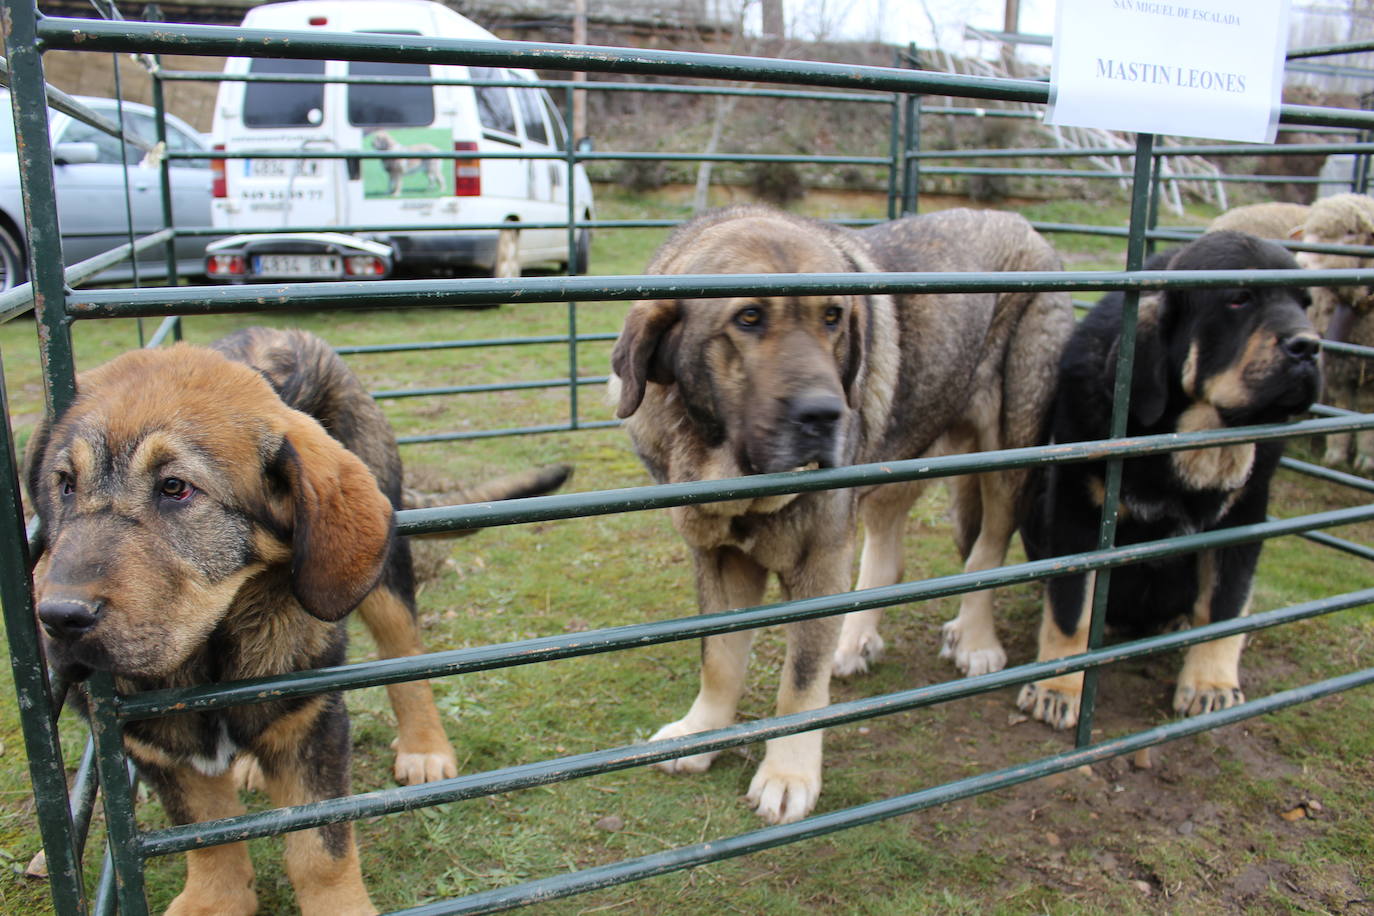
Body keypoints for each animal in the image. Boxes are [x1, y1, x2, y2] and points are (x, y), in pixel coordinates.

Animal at [26, 329, 571, 916]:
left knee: (406, 660)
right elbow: (206, 838)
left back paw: (425, 746)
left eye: (176, 488)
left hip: (382, 574)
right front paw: (215, 899)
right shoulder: (155, 745)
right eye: (64, 484)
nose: (59, 617)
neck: (212, 649)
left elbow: (321, 848)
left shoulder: (312, 721)